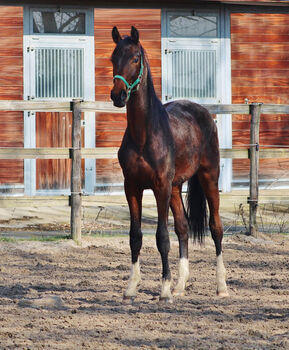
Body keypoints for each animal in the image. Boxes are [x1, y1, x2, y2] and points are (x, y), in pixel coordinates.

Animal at [109, 26, 227, 302]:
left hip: (208, 176)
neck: (145, 134)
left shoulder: (159, 186)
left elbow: (162, 237)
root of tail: (203, 113)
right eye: (113, 58)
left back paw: (221, 287)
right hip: (175, 187)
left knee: (215, 227)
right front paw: (131, 288)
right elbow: (135, 236)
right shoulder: (132, 187)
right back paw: (180, 286)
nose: (118, 95)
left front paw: (163, 290)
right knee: (183, 228)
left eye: (135, 58)